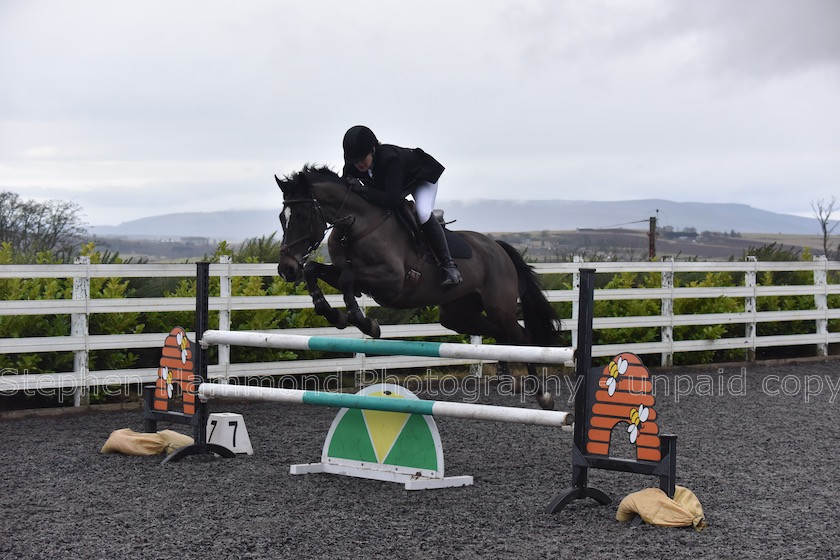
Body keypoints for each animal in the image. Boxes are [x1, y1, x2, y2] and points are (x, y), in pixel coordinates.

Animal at [276, 164, 560, 410]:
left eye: (302, 216)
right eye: (282, 217)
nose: (286, 269)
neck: (356, 225)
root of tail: (497, 247)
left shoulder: (392, 281)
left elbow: (347, 278)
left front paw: (364, 322)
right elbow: (315, 270)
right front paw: (332, 314)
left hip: (498, 307)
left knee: (523, 338)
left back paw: (542, 395)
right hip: (458, 316)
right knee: (501, 333)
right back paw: (505, 377)